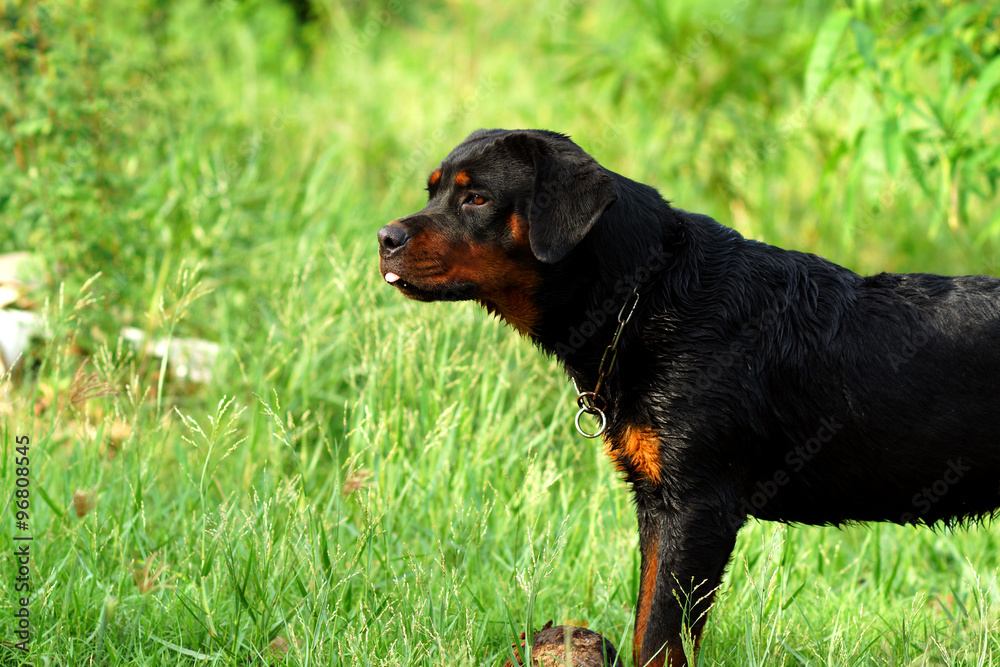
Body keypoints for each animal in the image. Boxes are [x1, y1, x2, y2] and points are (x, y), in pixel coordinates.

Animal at [376, 128, 1000, 664]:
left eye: (477, 198)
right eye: (433, 191)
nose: (385, 238)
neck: (644, 295)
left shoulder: (697, 507)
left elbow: (655, 636)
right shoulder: (657, 505)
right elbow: (650, 624)